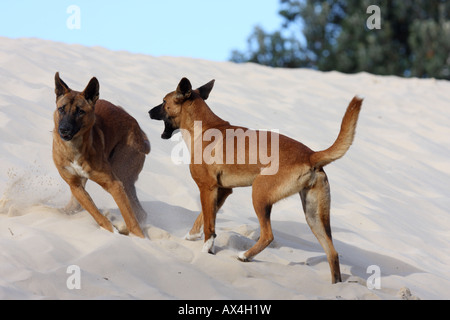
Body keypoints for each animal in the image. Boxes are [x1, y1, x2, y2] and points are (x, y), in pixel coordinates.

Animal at [53, 73, 150, 238]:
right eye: (61, 109)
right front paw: (110, 229)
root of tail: (138, 129)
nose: (64, 130)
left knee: (139, 213)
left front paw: (140, 239)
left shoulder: (115, 185)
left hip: (124, 176)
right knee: (76, 204)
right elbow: (93, 211)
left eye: (80, 112)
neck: (75, 148)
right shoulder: (75, 185)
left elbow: (130, 218)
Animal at [149, 77, 364, 282]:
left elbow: (209, 226)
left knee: (268, 235)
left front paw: (205, 251)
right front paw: (190, 237)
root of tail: (310, 155)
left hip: (259, 194)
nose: (148, 112)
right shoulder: (221, 191)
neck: (205, 127)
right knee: (332, 253)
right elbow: (202, 217)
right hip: (314, 216)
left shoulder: (207, 188)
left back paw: (245, 255)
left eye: (163, 101)